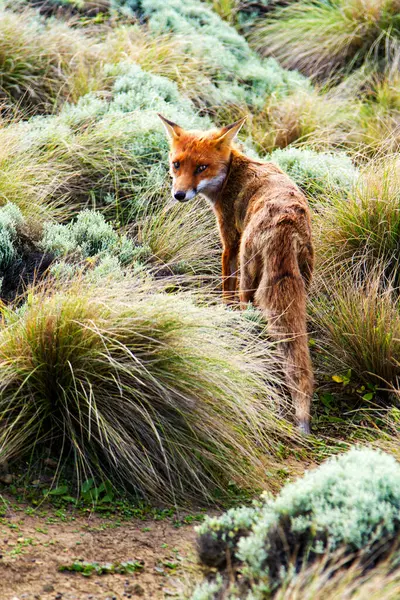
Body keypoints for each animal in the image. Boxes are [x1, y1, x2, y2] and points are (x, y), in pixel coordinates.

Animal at [158, 115, 314, 434]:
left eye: (201, 167)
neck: (232, 174)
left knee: (246, 304)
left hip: (249, 268)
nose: (179, 194)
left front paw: (222, 312)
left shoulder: (229, 241)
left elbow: (224, 288)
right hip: (304, 277)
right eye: (177, 164)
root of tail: (286, 223)